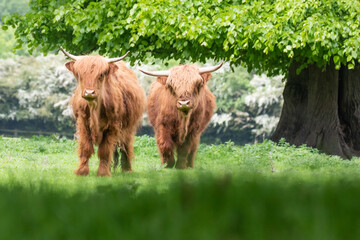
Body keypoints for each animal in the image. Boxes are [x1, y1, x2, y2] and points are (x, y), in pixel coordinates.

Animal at [61, 47, 146, 177]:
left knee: (125, 145)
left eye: (101, 75)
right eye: (81, 75)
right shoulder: (83, 122)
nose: (89, 92)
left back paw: (127, 169)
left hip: (129, 126)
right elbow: (86, 148)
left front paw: (103, 173)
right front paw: (82, 171)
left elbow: (105, 150)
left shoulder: (113, 126)